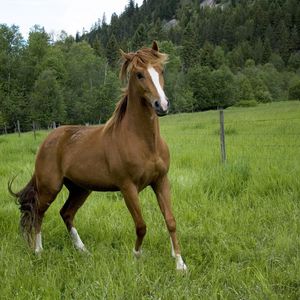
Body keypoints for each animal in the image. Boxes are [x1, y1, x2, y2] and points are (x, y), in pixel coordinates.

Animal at [8, 41, 188, 272]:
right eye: (139, 74)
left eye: (161, 70)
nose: (161, 105)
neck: (144, 143)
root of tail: (48, 139)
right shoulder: (128, 187)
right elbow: (141, 225)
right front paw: (136, 256)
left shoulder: (161, 181)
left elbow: (171, 221)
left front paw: (180, 264)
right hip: (50, 187)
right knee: (38, 213)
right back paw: (39, 252)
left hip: (80, 189)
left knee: (66, 213)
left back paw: (83, 251)